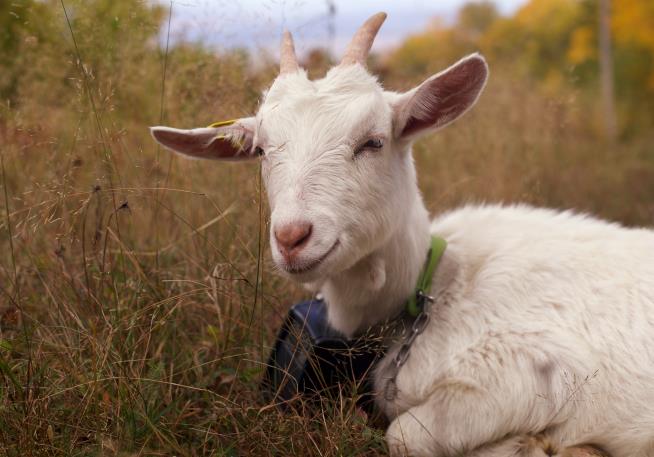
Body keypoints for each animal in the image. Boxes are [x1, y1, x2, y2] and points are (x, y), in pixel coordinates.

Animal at [150, 12, 654, 457]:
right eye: (259, 150)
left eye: (373, 141)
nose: (293, 237)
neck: (431, 291)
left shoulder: (537, 369)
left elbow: (403, 435)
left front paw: (540, 445)